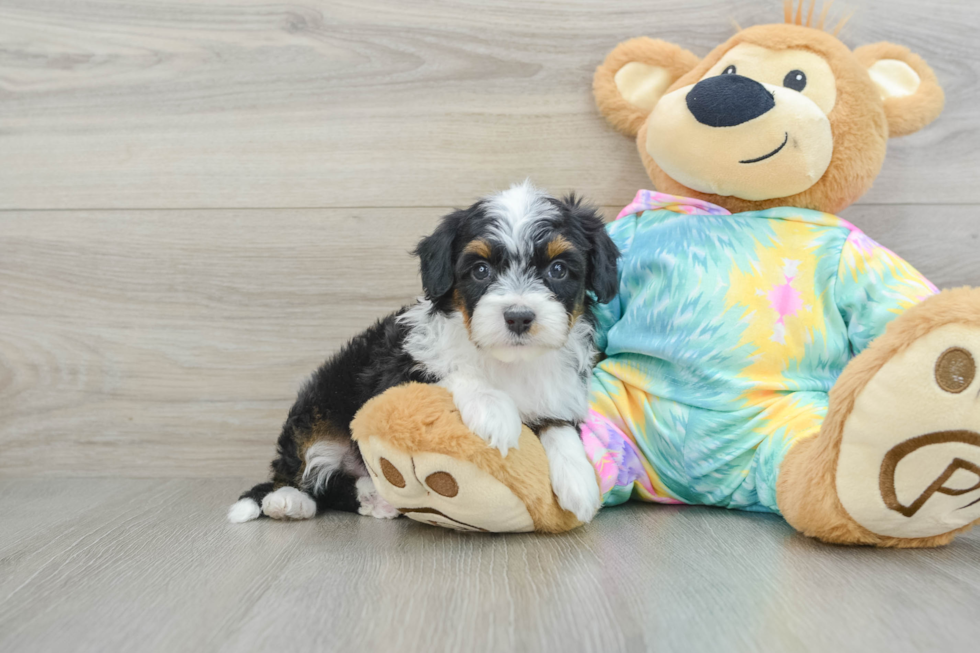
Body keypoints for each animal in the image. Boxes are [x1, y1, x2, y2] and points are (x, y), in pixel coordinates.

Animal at [226, 182, 616, 524]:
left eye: (558, 269)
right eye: (481, 269)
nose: (519, 316)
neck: (507, 362)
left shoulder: (558, 388)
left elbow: (559, 423)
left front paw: (578, 480)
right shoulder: (399, 369)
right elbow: (452, 371)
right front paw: (493, 410)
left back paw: (371, 496)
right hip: (320, 400)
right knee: (300, 471)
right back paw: (289, 501)